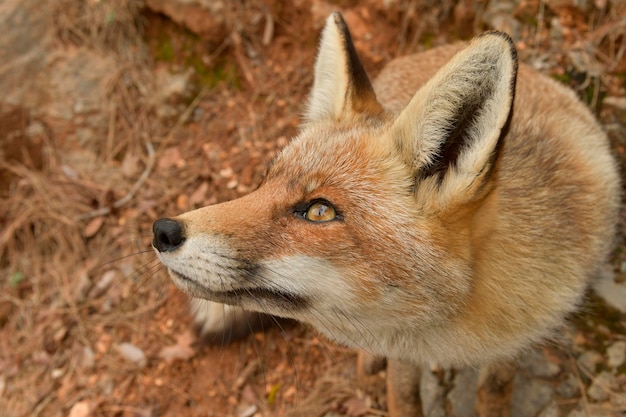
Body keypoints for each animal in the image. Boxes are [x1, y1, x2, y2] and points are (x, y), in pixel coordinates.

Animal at [151, 12, 620, 416]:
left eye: (319, 211)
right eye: (264, 182)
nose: (163, 231)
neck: (455, 333)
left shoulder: (517, 341)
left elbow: (494, 391)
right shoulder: (403, 350)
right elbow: (403, 394)